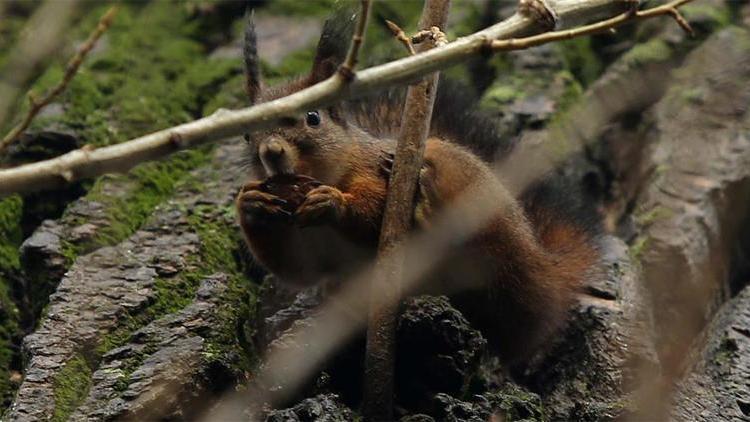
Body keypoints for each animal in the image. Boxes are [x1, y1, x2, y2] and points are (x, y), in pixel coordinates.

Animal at [238, 12, 604, 362]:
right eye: (246, 133)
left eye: (313, 118)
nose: (271, 151)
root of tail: (541, 259)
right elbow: (295, 268)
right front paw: (252, 205)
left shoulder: (374, 172)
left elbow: (377, 219)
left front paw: (333, 203)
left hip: (478, 193)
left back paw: (430, 200)